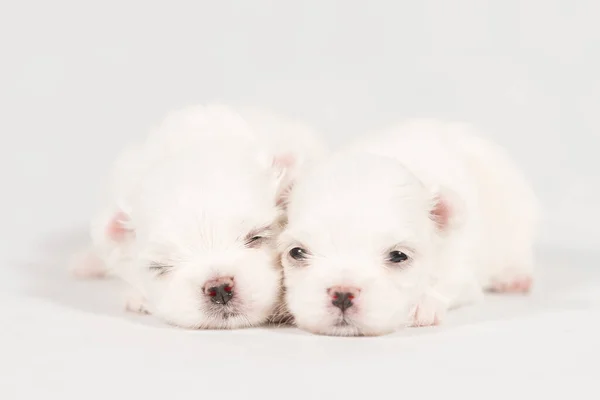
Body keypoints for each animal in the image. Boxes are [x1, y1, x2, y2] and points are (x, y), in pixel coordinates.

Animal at [280, 119, 540, 338]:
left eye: (399, 256)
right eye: (297, 252)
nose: (343, 293)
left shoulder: (461, 269)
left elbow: (449, 283)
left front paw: (423, 304)